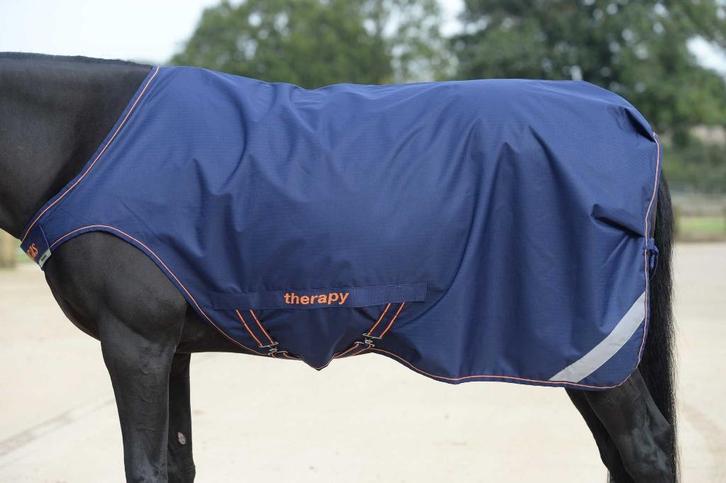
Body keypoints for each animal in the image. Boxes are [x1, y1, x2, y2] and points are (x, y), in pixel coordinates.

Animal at [0, 53, 676, 482]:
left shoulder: (134, 343)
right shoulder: (171, 349)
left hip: (590, 344)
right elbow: (178, 465)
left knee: (646, 448)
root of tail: (632, 121)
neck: (88, 142)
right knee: (620, 454)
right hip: (578, 360)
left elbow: (143, 468)